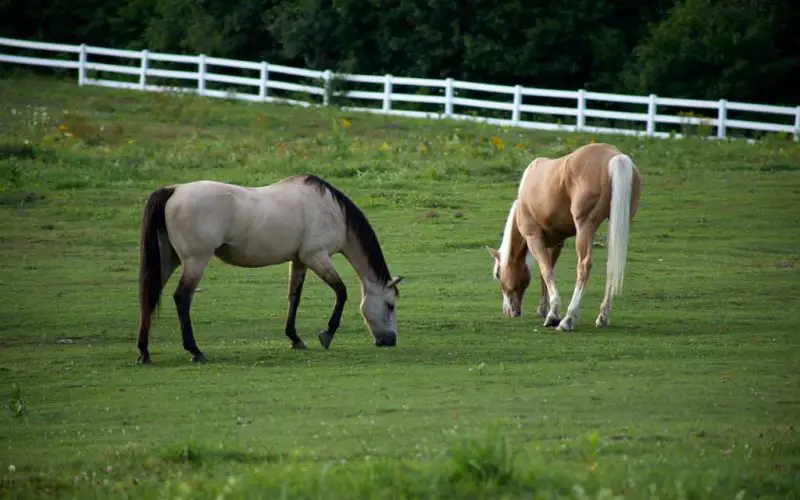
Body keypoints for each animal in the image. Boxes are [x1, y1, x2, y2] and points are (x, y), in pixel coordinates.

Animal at [136, 175, 406, 364]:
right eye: (390, 305)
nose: (390, 341)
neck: (331, 210)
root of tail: (174, 190)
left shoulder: (299, 260)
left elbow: (294, 297)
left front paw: (294, 338)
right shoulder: (317, 256)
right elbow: (341, 291)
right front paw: (327, 334)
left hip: (168, 260)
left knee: (149, 296)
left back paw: (144, 353)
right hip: (195, 261)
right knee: (182, 298)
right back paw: (194, 351)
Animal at [484, 144, 640, 332]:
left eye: (498, 274)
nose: (509, 312)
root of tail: (615, 156)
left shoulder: (534, 238)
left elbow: (546, 271)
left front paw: (553, 314)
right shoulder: (556, 242)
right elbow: (546, 272)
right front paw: (543, 309)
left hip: (584, 228)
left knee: (584, 266)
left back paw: (568, 318)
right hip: (616, 226)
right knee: (612, 265)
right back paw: (602, 317)